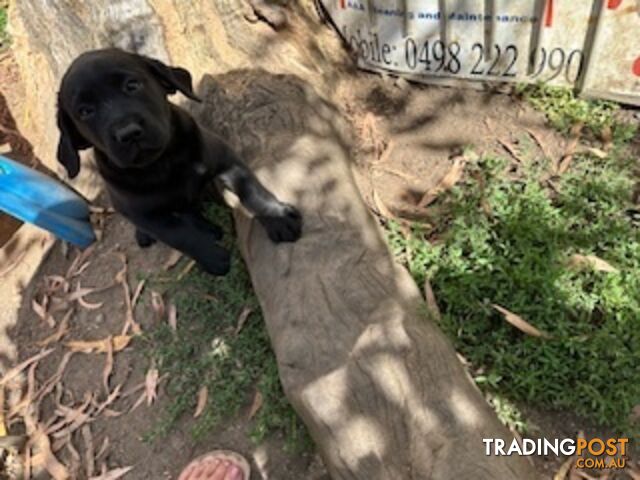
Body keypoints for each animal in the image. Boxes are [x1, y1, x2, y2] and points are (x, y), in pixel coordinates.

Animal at [55, 48, 302, 276]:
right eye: (85, 112)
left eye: (132, 85)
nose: (128, 133)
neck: (163, 163)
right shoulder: (143, 214)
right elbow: (179, 235)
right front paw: (212, 257)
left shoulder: (225, 158)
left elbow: (251, 191)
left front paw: (278, 218)